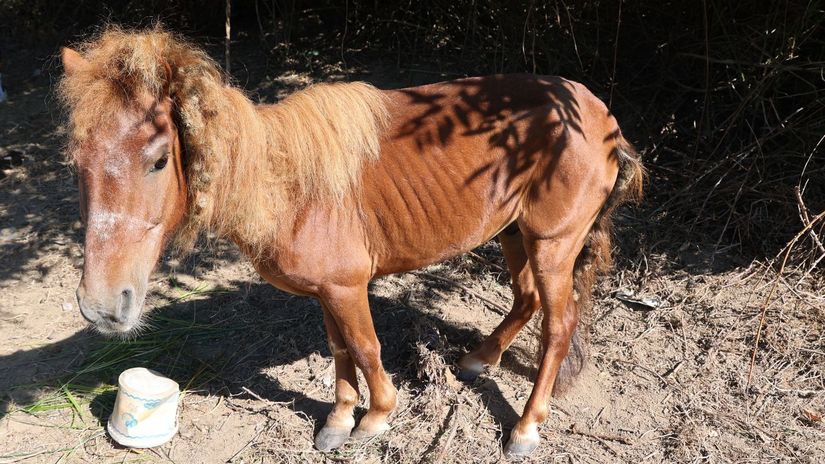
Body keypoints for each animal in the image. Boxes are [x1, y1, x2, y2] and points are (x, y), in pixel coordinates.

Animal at [59, 27, 643, 457]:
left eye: (159, 160)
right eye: (76, 163)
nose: (102, 306)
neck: (287, 184)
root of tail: (600, 115)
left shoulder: (347, 287)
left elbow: (365, 348)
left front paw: (376, 418)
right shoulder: (330, 290)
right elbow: (341, 349)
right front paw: (339, 420)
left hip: (552, 244)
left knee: (557, 326)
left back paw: (525, 427)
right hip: (515, 234)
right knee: (525, 299)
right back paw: (479, 359)